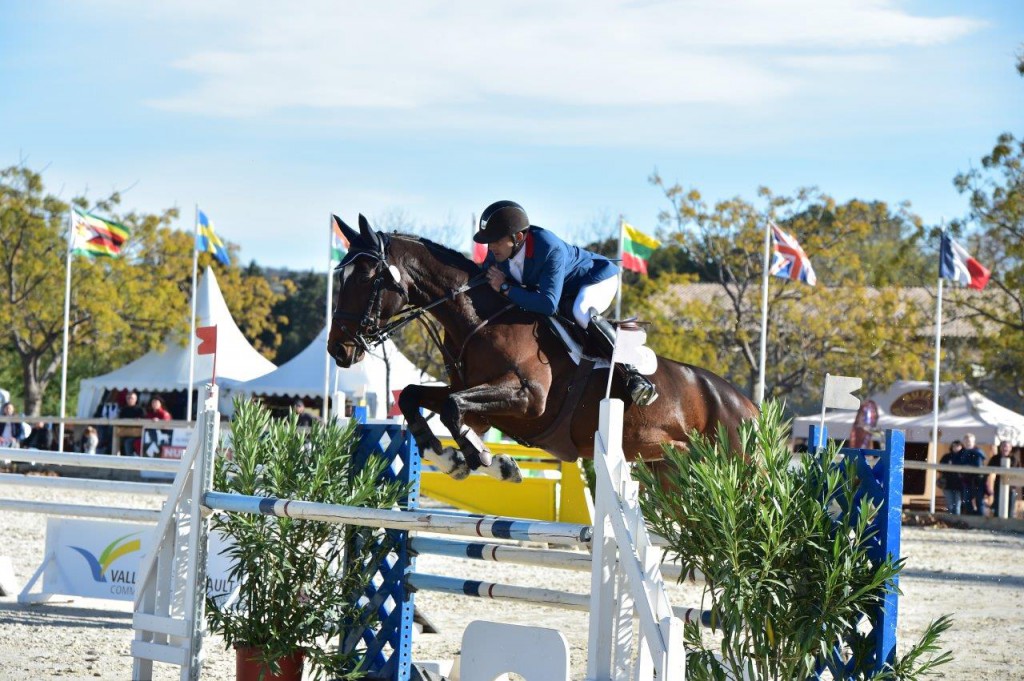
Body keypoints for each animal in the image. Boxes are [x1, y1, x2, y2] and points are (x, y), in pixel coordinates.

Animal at [329, 215, 761, 481]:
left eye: (365, 277)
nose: (338, 350)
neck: (479, 321)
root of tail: (750, 406)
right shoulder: (473, 395)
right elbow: (414, 398)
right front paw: (450, 459)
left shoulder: (527, 399)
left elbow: (452, 410)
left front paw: (488, 461)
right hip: (669, 471)